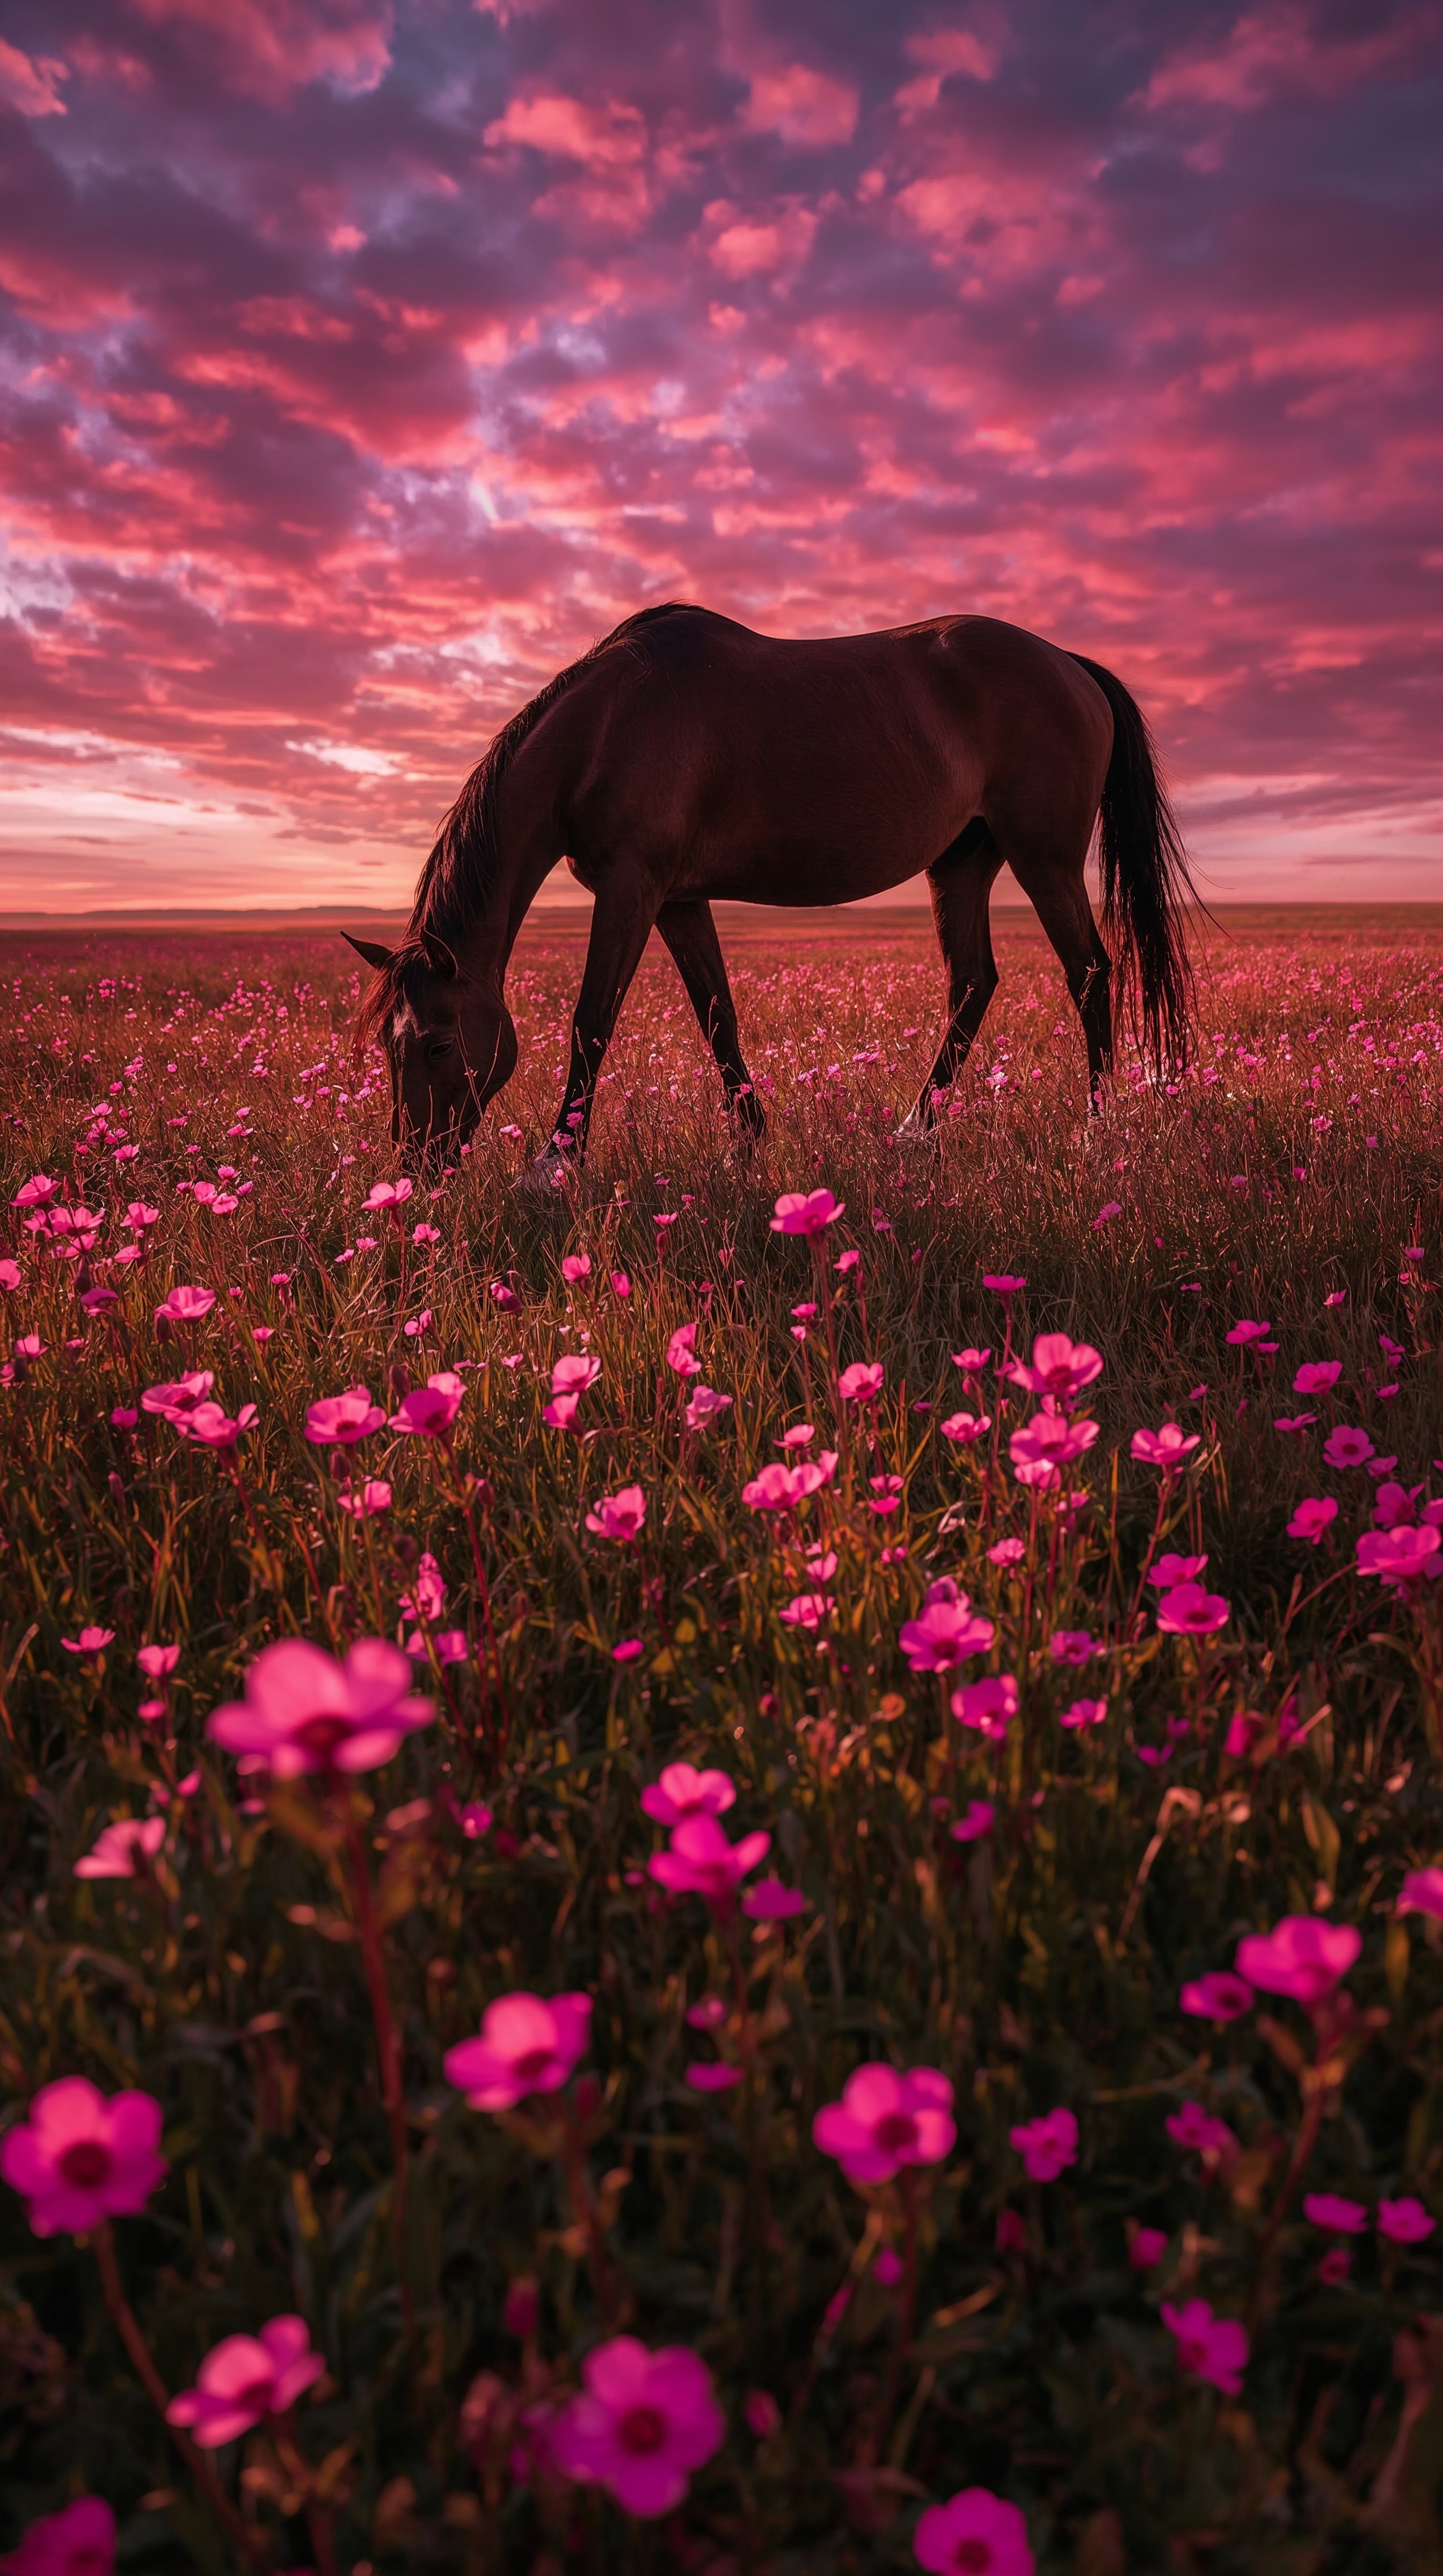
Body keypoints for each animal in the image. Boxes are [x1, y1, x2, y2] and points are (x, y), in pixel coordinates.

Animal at [345, 601, 1196, 1174]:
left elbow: (592, 1019)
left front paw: (555, 1166)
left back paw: (1096, 1131)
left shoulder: (629, 888)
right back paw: (914, 1132)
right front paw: (746, 1147)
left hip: (1043, 856)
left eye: (438, 1041)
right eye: (389, 1046)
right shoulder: (677, 898)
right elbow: (716, 1013)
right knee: (973, 983)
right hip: (963, 863)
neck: (605, 728)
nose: (415, 1170)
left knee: (1089, 973)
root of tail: (1071, 664)